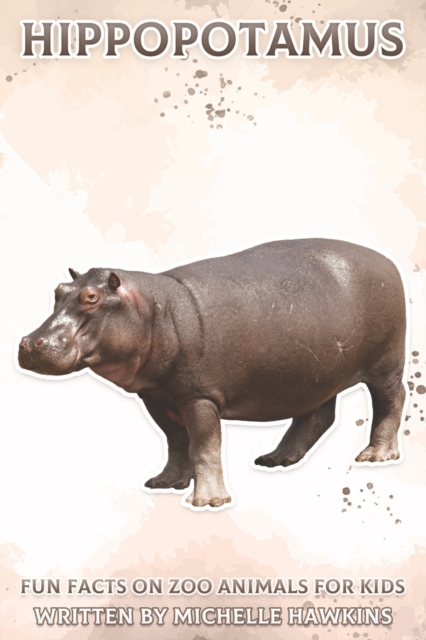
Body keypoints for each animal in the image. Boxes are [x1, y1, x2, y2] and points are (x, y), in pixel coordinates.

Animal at [18, 239, 407, 509]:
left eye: (92, 297)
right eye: (58, 291)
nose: (31, 343)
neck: (151, 308)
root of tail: (388, 260)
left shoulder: (199, 396)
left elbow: (205, 447)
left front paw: (208, 502)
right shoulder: (156, 396)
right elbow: (177, 442)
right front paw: (164, 483)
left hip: (385, 364)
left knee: (392, 399)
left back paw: (375, 456)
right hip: (313, 374)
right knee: (317, 414)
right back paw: (276, 459)